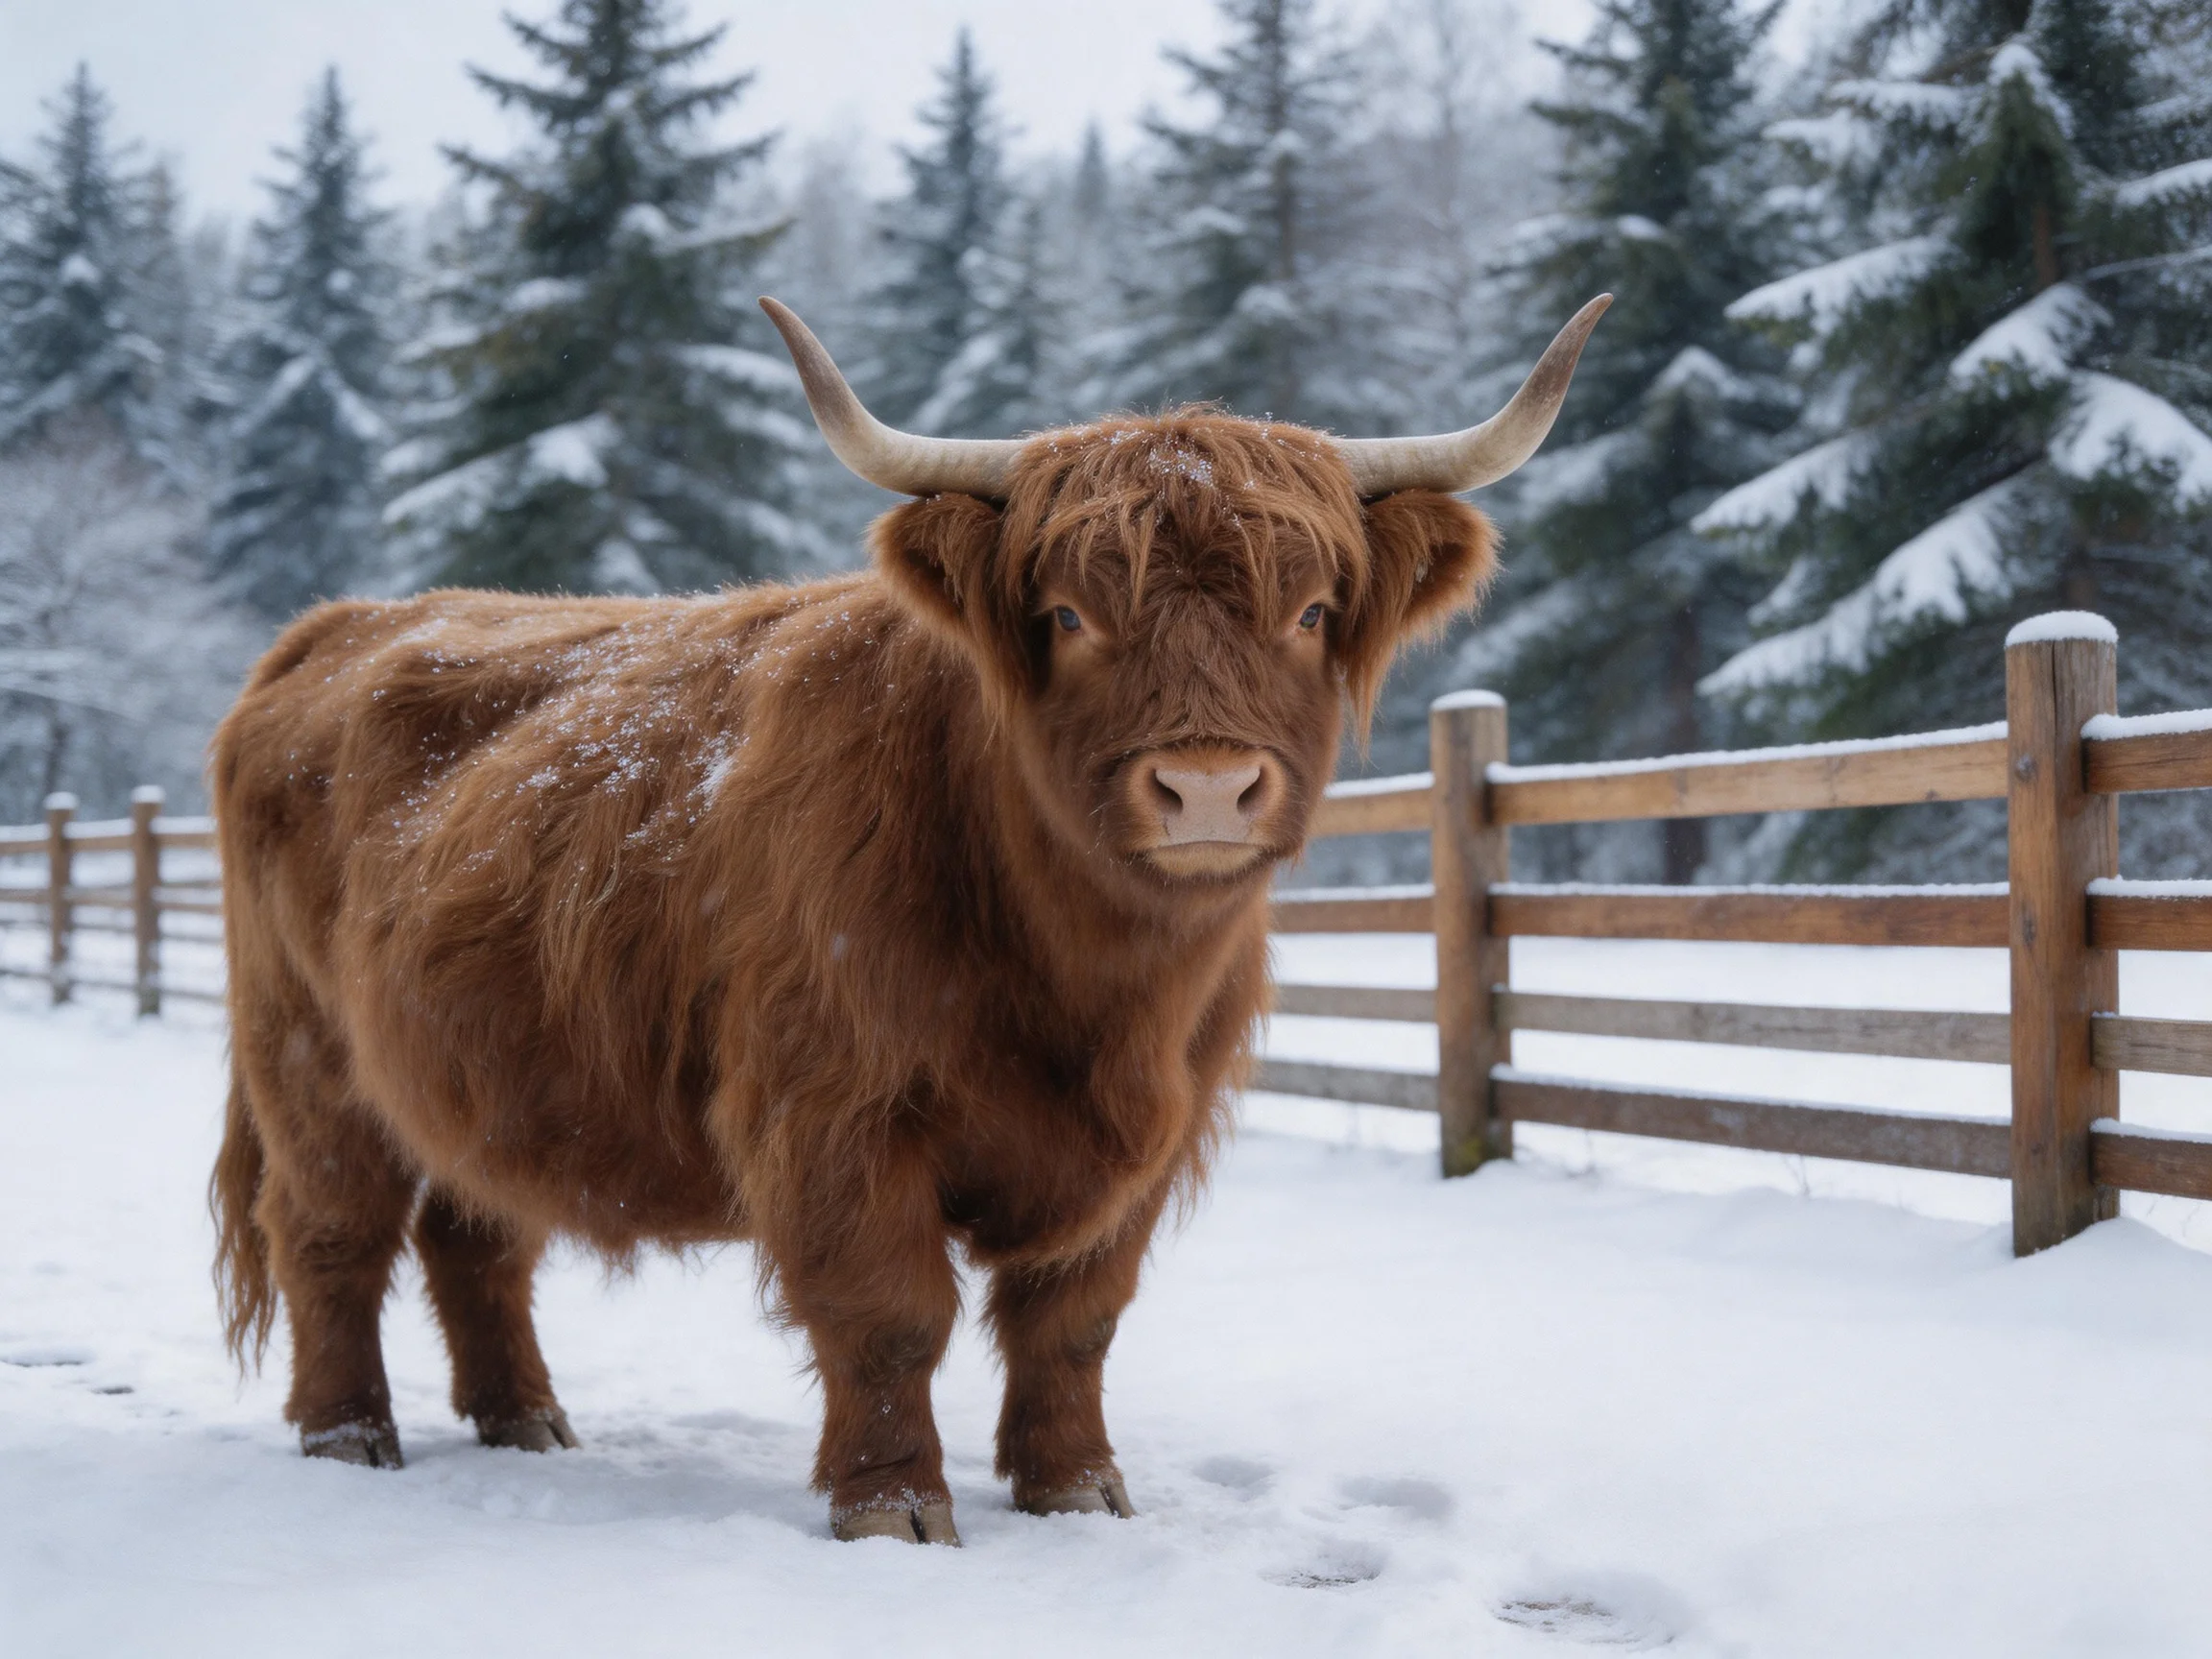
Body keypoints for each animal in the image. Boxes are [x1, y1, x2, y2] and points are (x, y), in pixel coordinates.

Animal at [208, 293, 1608, 1543]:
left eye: (1311, 611)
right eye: (1069, 615)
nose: (1206, 783)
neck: (1092, 988)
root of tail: (339, 625)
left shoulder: (1149, 1142)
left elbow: (1073, 1319)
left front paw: (1077, 1492)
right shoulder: (834, 1109)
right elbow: (889, 1314)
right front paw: (893, 1508)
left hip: (475, 1066)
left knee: (476, 1235)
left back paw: (526, 1421)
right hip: (308, 1051)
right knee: (330, 1230)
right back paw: (349, 1436)